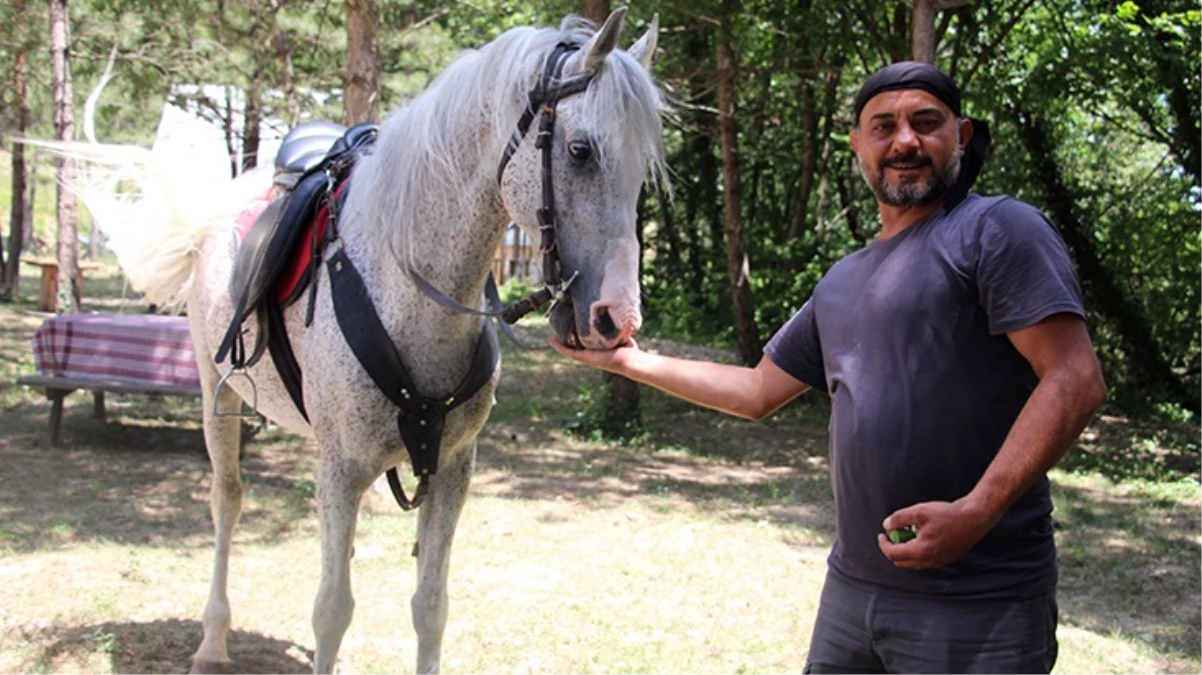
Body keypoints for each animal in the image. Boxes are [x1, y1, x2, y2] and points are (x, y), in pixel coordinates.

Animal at [69, 10, 668, 672]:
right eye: (580, 150)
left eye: (644, 165)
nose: (617, 318)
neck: (408, 287)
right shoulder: (341, 467)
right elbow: (332, 609)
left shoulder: (453, 470)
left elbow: (430, 607)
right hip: (216, 395)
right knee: (227, 500)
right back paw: (212, 643)